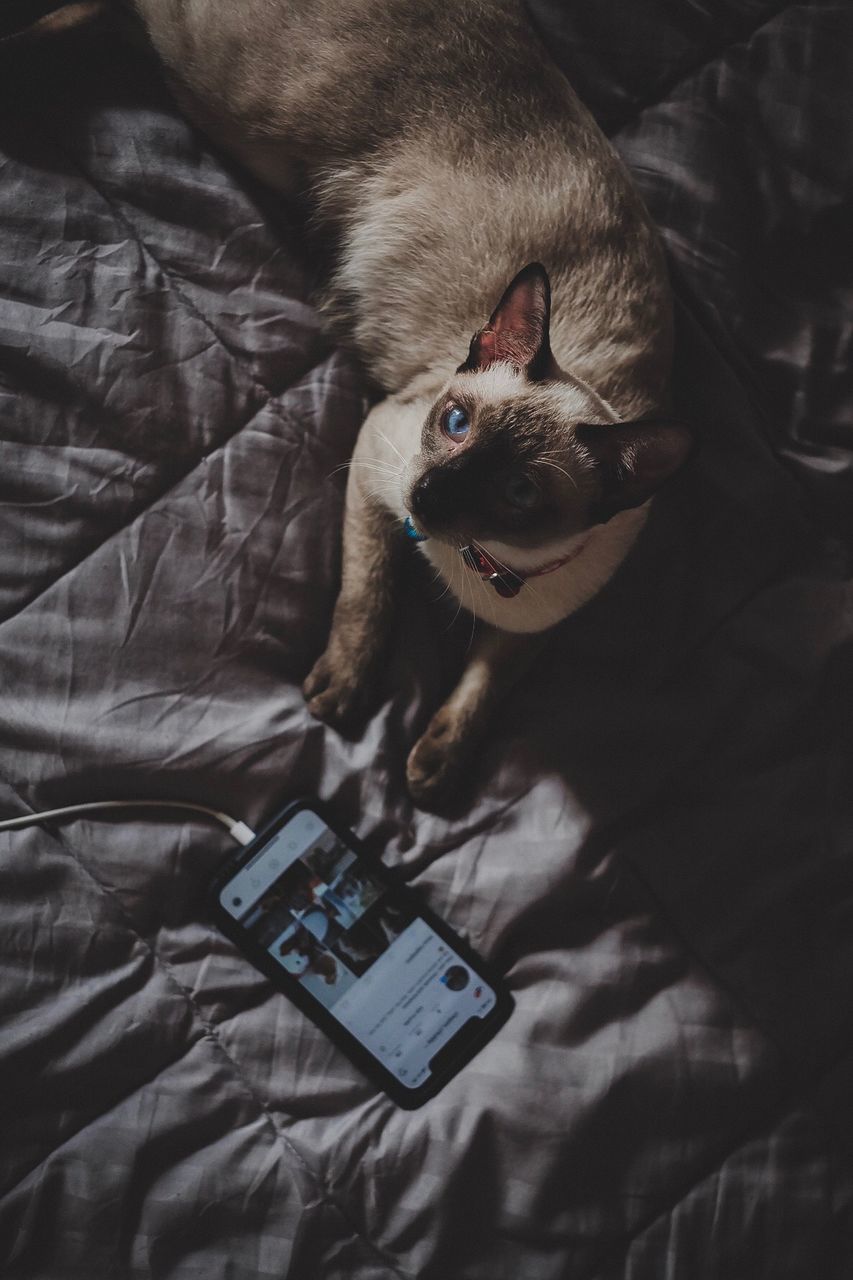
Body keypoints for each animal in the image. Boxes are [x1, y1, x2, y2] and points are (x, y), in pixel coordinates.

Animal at [49, 0, 686, 803]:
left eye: (518, 493)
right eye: (454, 423)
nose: (429, 496)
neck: (478, 564)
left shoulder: (536, 626)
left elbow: (481, 686)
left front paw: (435, 769)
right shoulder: (377, 462)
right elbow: (368, 596)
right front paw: (344, 694)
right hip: (238, 105)